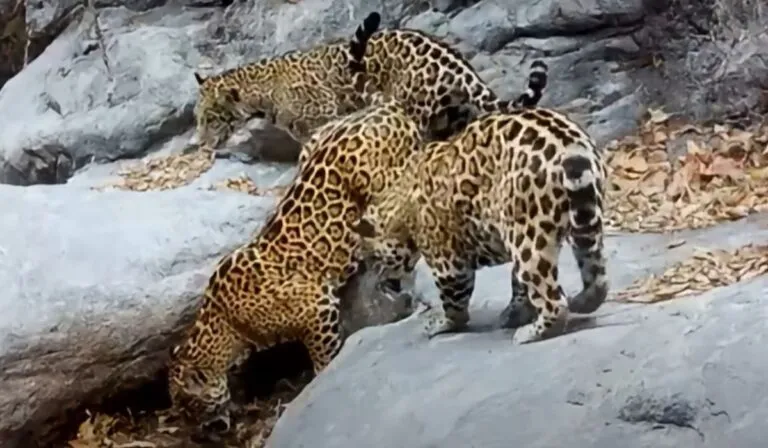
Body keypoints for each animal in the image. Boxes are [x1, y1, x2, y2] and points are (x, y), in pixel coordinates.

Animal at [355, 107, 609, 345]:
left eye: (372, 258)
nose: (383, 284)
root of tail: (571, 146)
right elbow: (518, 285)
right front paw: (515, 312)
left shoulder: (448, 263)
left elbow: (454, 302)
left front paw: (442, 324)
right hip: (582, 221)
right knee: (597, 275)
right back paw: (583, 302)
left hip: (528, 239)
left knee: (554, 301)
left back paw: (531, 333)